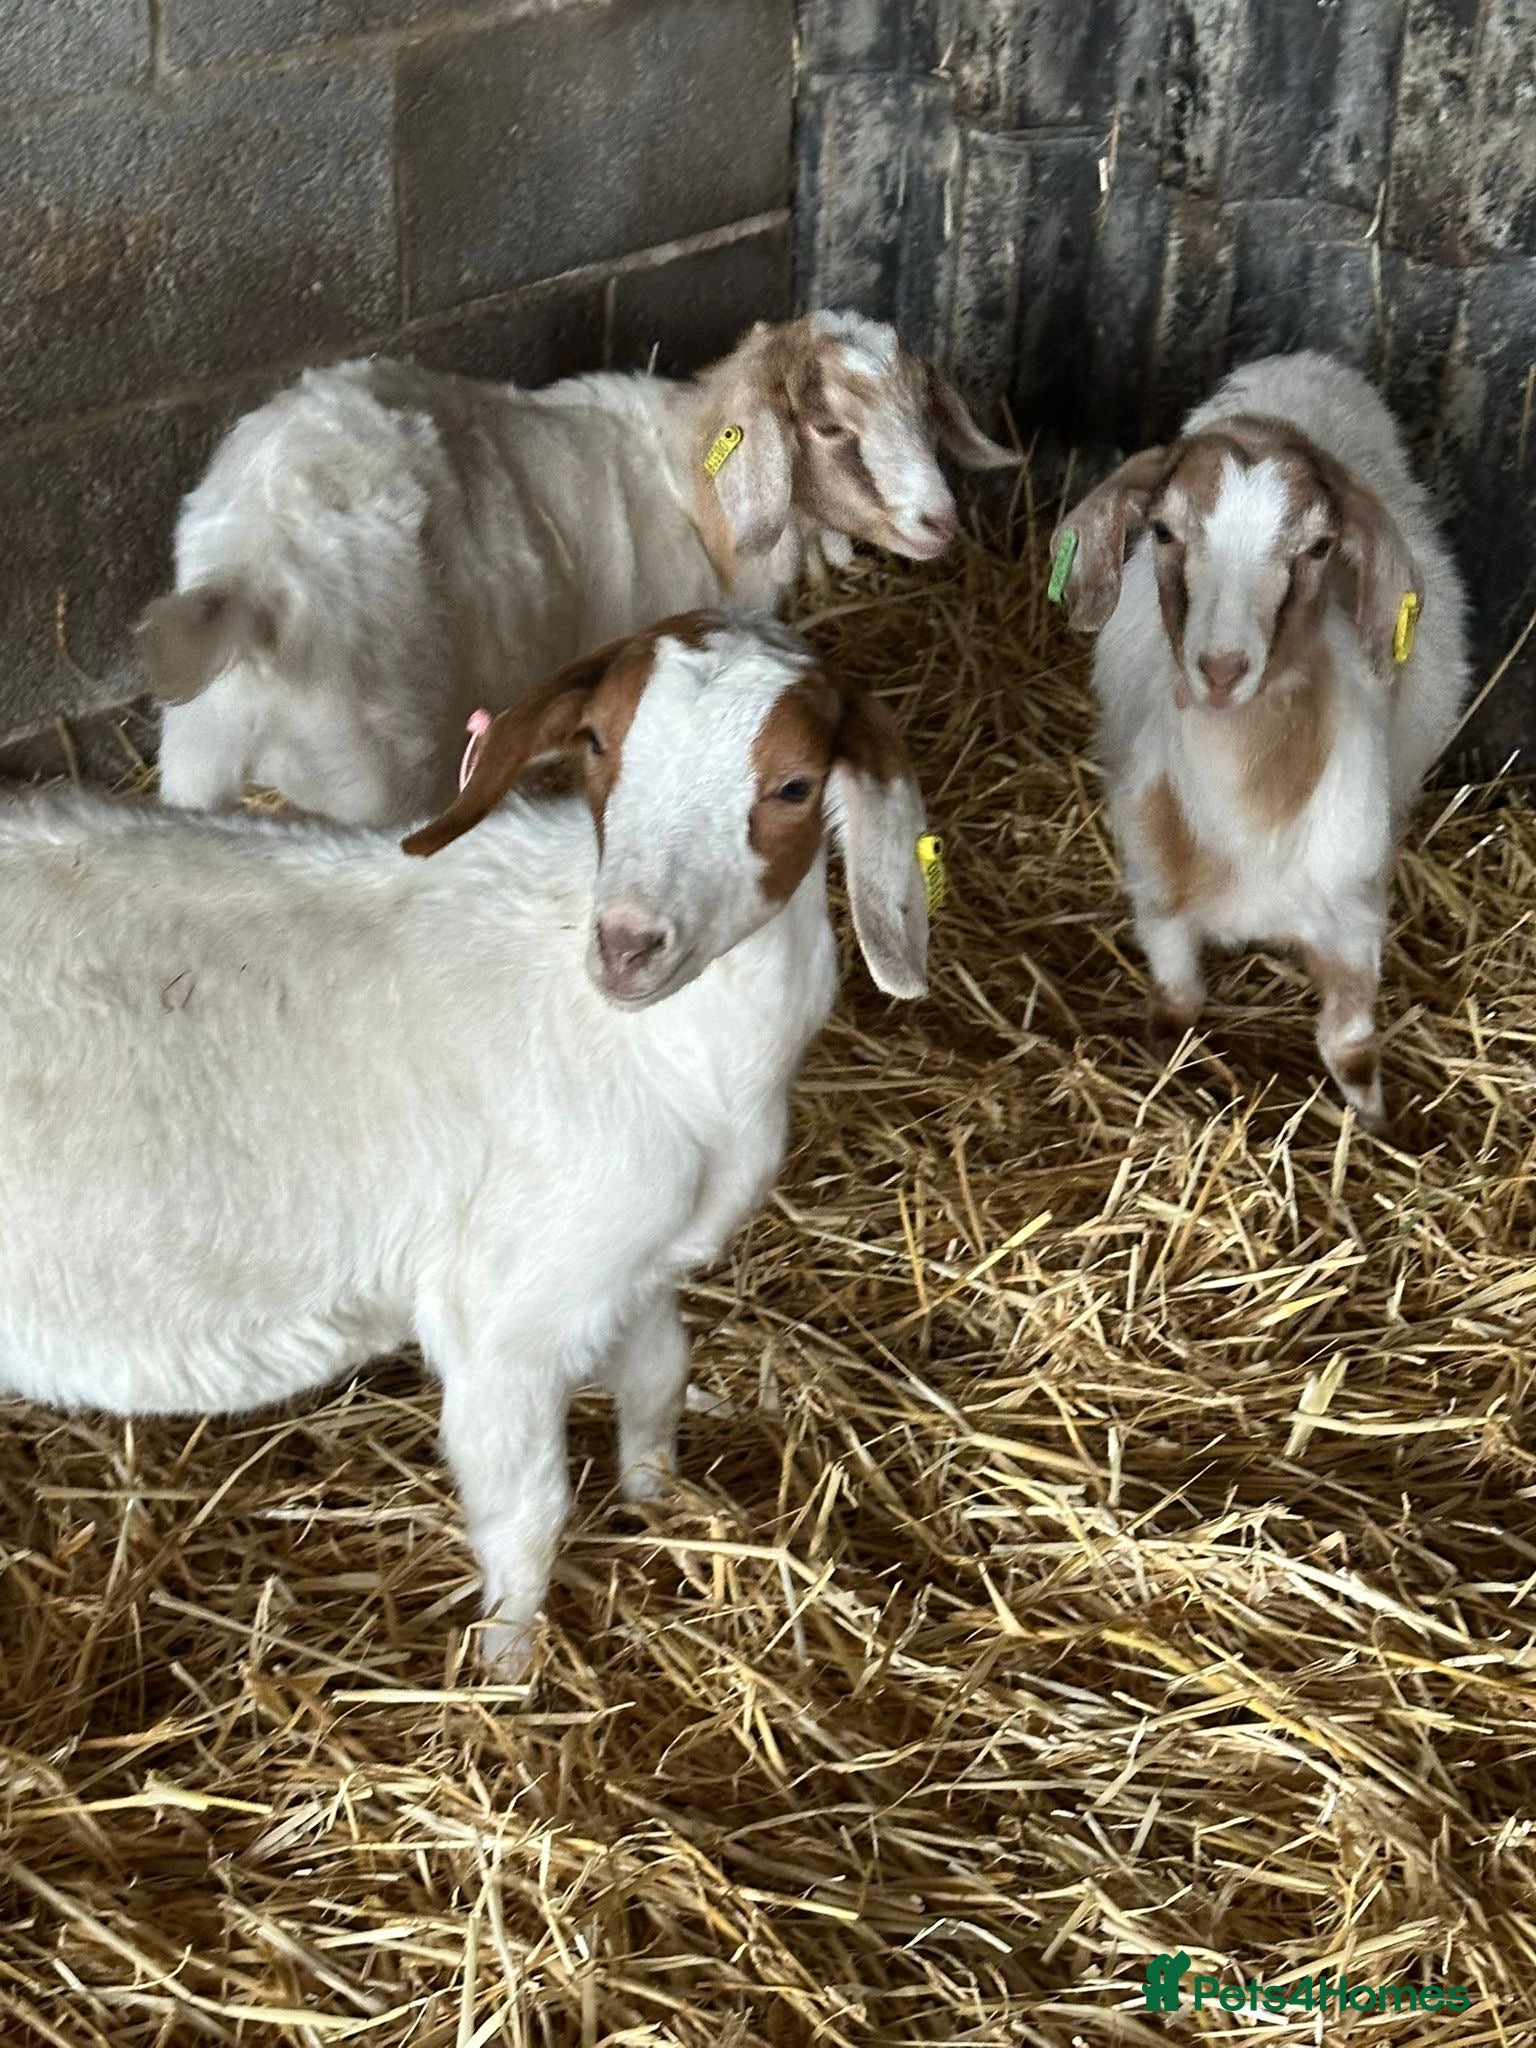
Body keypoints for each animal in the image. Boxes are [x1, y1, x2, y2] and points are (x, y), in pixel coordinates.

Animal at [0, 612, 929, 1674]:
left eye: (794, 785)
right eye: (600, 742)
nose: (626, 945)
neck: (664, 1047)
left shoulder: (630, 1264)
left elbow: (659, 1377)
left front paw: (657, 1502)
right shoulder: (506, 1314)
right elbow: (528, 1510)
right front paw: (505, 1669)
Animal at [141, 311, 1013, 826]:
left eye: (923, 409)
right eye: (829, 425)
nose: (940, 521)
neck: (699, 490)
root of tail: (252, 578)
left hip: (194, 758)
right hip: (376, 774)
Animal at [1052, 350, 1469, 1127]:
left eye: (1320, 547)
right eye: (1163, 531)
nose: (1221, 668)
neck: (1248, 819)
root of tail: (1300, 365)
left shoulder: (1352, 915)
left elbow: (1350, 1047)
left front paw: (1378, 1129)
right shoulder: (1159, 902)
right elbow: (1176, 1004)